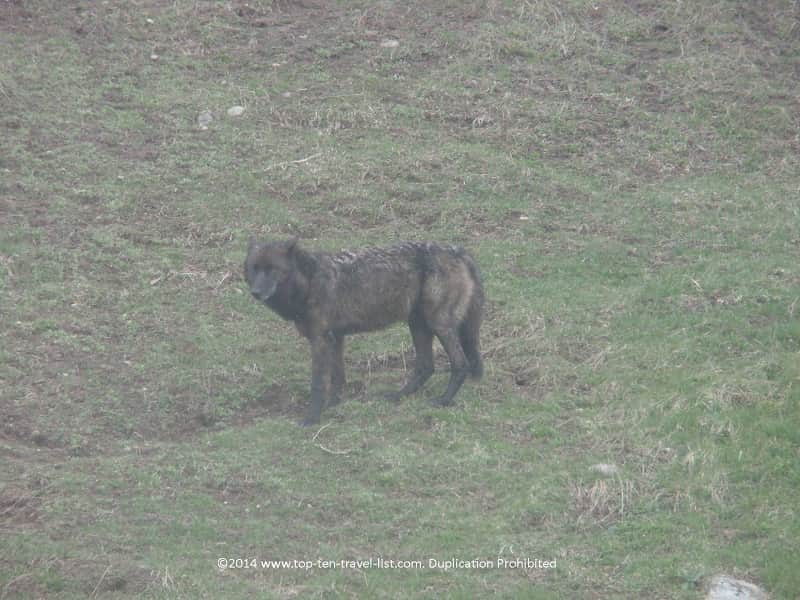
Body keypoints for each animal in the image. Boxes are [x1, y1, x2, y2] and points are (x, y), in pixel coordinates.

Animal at [244, 238, 484, 425]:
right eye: (254, 268)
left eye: (271, 269)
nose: (255, 292)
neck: (309, 283)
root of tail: (459, 251)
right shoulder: (335, 338)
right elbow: (338, 378)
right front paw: (333, 405)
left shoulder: (320, 340)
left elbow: (319, 384)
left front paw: (312, 418)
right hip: (418, 325)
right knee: (426, 366)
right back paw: (399, 395)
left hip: (438, 325)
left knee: (460, 363)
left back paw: (443, 401)